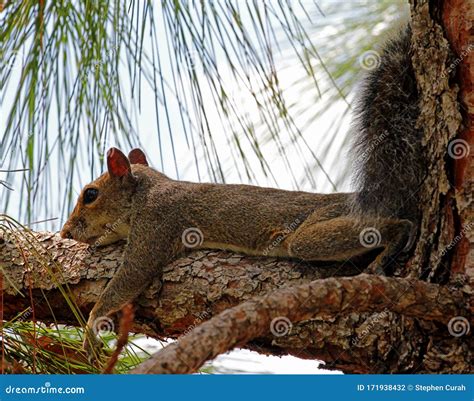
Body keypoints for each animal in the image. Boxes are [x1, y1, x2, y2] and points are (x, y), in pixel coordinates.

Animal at [61, 25, 424, 358]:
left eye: (90, 195)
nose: (65, 232)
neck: (145, 191)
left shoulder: (157, 222)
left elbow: (133, 273)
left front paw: (91, 325)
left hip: (318, 228)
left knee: (376, 229)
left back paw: (393, 241)